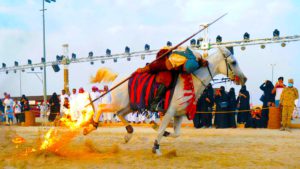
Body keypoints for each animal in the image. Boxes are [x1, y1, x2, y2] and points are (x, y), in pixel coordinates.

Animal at [84, 46, 246, 155]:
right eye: (233, 62)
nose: (244, 79)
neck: (192, 80)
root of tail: (119, 79)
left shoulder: (179, 115)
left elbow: (175, 133)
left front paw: (158, 129)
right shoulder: (169, 112)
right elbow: (162, 129)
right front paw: (156, 147)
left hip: (130, 105)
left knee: (120, 114)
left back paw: (128, 133)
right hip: (118, 103)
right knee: (102, 107)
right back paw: (90, 127)